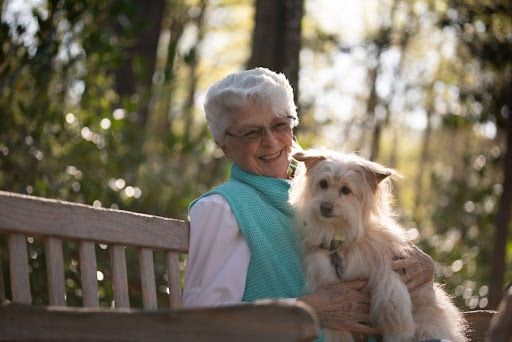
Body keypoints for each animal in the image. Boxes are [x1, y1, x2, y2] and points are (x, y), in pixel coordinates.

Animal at [288, 149, 468, 342]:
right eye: (323, 184)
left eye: (346, 190)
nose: (326, 207)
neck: (341, 244)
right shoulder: (331, 287)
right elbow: (339, 328)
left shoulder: (388, 279)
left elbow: (393, 315)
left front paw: (399, 335)